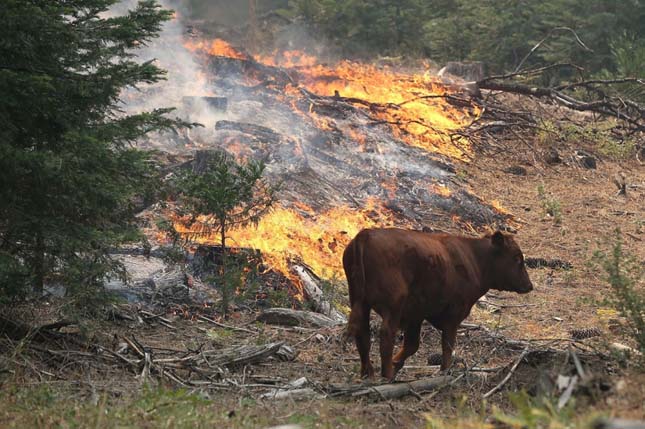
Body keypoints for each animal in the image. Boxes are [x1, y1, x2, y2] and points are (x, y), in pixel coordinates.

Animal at [342, 227, 532, 378]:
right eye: (516, 258)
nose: (529, 285)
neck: (474, 259)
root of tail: (366, 234)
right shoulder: (453, 315)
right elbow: (447, 345)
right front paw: (445, 371)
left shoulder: (416, 315)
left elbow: (412, 345)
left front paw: (397, 364)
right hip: (393, 306)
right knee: (386, 335)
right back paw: (386, 373)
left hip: (360, 301)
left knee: (363, 335)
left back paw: (368, 372)